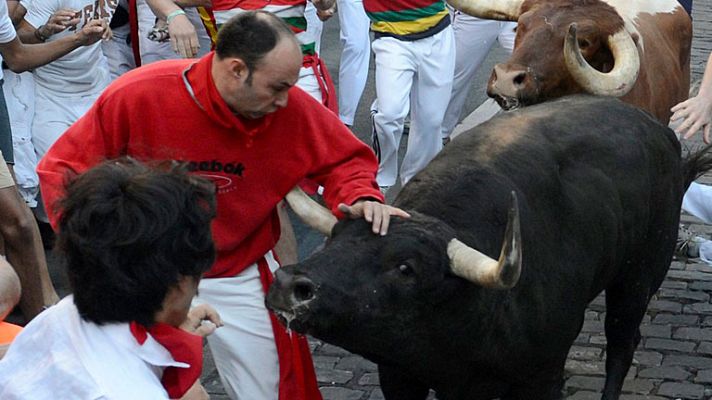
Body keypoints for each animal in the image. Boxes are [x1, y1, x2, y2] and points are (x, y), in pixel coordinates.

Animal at [264, 95, 712, 398]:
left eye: (407, 267)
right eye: (336, 236)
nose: (289, 284)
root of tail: (662, 134)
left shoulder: (543, 375)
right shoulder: (398, 374)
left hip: (638, 277)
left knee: (621, 344)